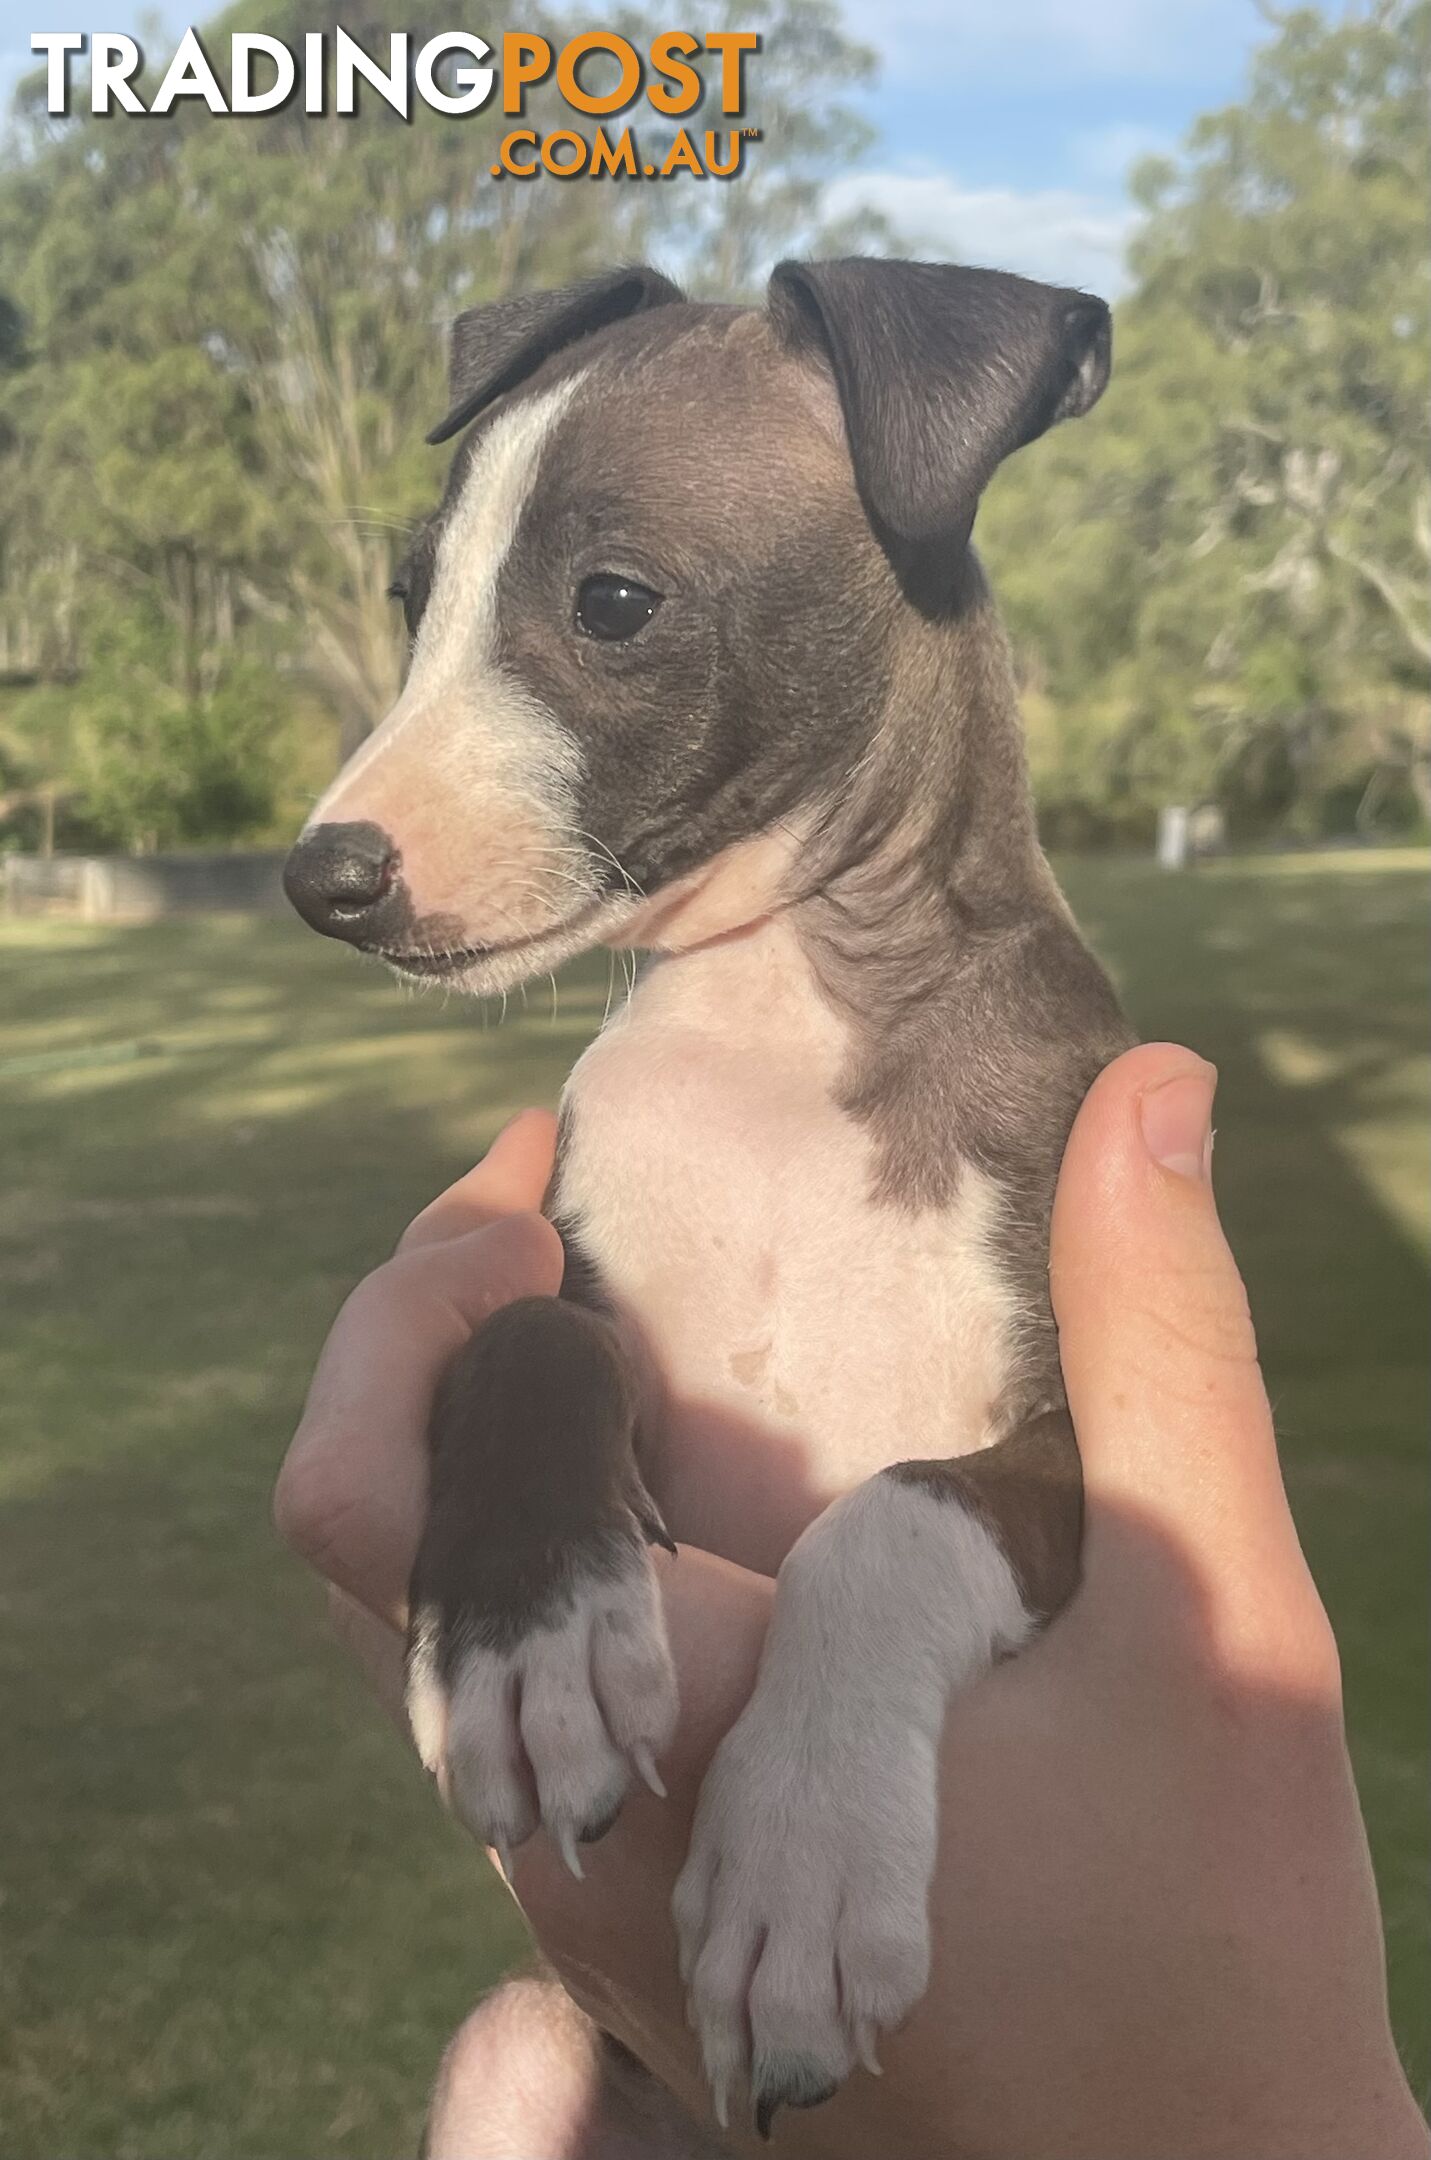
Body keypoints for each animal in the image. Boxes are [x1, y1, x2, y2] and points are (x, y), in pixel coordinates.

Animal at [285, 261, 1141, 2134]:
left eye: (612, 601)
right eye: (411, 595)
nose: (322, 877)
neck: (780, 1038)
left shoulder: (1079, 1455)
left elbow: (893, 1507)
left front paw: (799, 1869)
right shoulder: (588, 1287)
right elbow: (526, 1334)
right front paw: (527, 1640)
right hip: (519, 2049)